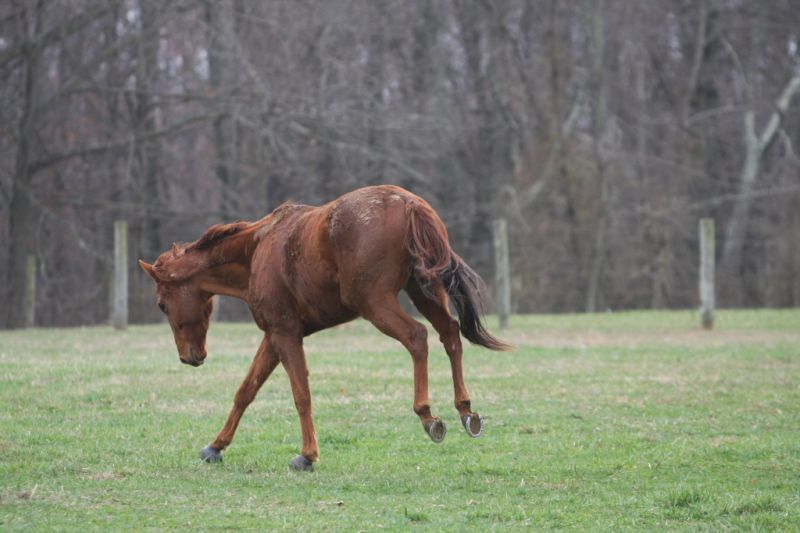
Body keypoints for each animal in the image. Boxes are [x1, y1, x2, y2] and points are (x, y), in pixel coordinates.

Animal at [138, 185, 510, 471]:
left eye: (161, 304)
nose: (190, 357)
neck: (257, 250)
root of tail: (408, 204)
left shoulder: (285, 335)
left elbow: (301, 394)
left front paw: (307, 455)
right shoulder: (274, 336)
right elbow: (246, 391)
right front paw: (216, 446)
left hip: (376, 304)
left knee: (417, 338)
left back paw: (427, 414)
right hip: (424, 291)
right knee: (450, 335)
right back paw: (465, 409)